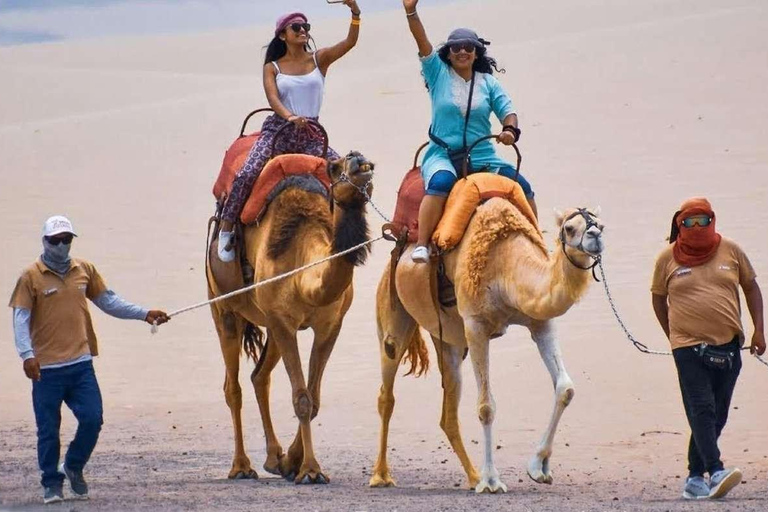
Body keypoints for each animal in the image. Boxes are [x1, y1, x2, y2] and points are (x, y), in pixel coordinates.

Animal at [207, 151, 376, 484]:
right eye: (334, 167)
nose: (358, 158)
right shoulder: (282, 322)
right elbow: (302, 399)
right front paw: (310, 471)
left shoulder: (330, 325)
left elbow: (314, 398)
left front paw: (291, 463)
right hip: (223, 306)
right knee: (232, 386)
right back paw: (241, 467)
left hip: (270, 327)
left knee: (259, 376)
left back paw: (273, 458)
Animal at [368, 200, 604, 492]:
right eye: (570, 228)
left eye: (600, 224)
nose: (595, 236)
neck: (507, 268)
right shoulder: (476, 325)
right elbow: (486, 406)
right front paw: (492, 480)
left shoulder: (540, 322)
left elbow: (565, 389)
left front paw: (539, 467)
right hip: (392, 312)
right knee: (386, 393)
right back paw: (381, 475)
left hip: (447, 340)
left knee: (448, 411)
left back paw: (472, 477)